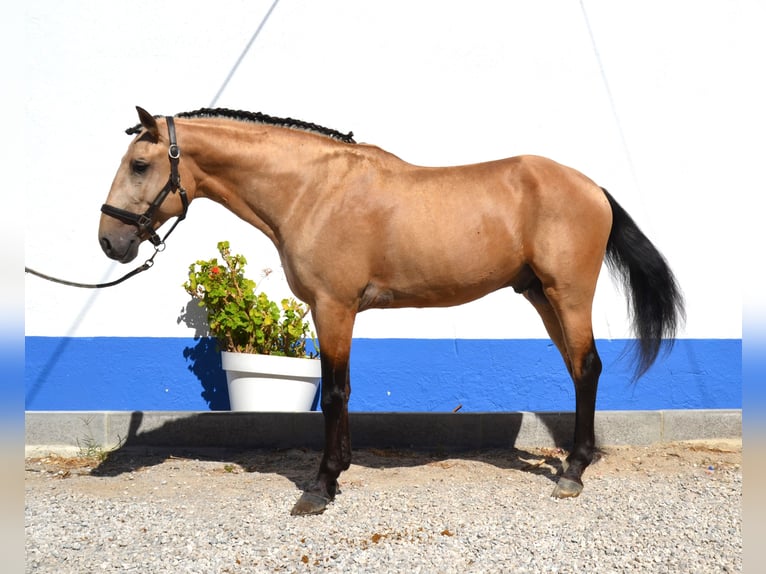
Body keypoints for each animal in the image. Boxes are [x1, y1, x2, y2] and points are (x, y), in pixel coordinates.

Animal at [99, 107, 688, 516]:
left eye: (140, 164)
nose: (109, 241)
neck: (313, 190)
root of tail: (592, 187)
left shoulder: (334, 307)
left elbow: (335, 392)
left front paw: (322, 486)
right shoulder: (335, 310)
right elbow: (341, 390)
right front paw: (338, 472)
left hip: (567, 293)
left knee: (587, 368)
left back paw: (573, 473)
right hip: (541, 295)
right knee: (576, 369)